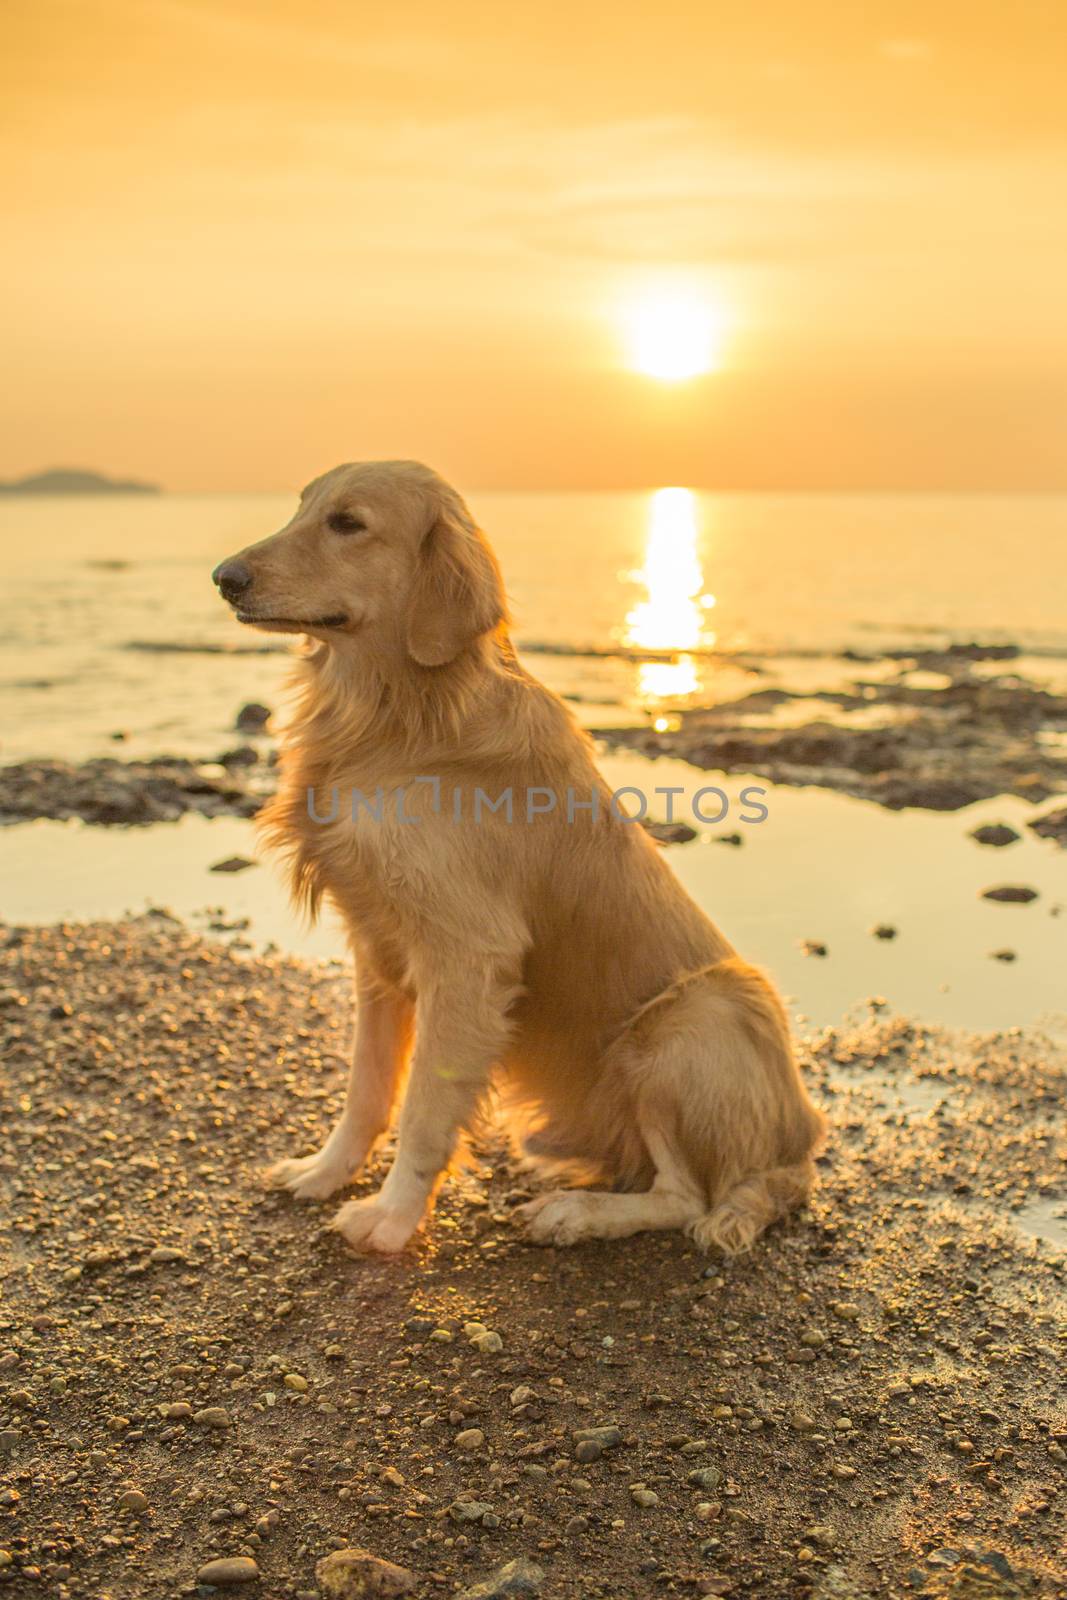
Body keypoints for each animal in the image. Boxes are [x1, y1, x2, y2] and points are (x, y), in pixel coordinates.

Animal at [211, 467, 825, 1254]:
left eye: (348, 523)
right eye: (301, 509)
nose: (225, 577)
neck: (399, 714)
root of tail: (797, 1150)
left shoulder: (468, 958)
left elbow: (424, 1108)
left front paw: (392, 1218)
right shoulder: (375, 948)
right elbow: (367, 1088)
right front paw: (326, 1171)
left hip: (690, 1020)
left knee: (687, 1198)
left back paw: (575, 1212)